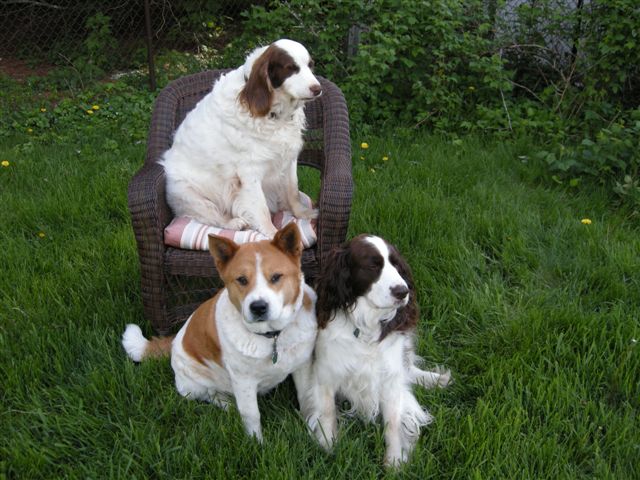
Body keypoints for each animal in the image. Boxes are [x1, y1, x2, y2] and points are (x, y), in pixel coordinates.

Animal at [121, 223, 316, 440]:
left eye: (276, 277)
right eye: (241, 279)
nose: (258, 307)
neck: (272, 337)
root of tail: (173, 342)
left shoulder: (303, 366)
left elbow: (308, 398)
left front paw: (315, 431)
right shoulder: (243, 380)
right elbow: (251, 414)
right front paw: (256, 443)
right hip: (193, 386)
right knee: (211, 394)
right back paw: (228, 405)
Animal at [160, 39, 320, 238]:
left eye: (310, 65)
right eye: (291, 68)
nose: (318, 89)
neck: (273, 113)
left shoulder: (289, 159)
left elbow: (293, 191)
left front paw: (302, 213)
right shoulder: (249, 172)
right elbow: (261, 208)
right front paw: (271, 232)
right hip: (187, 191)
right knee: (212, 216)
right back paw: (234, 223)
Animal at [298, 234, 452, 466]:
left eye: (396, 264)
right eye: (372, 265)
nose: (403, 291)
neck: (365, 328)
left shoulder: (389, 376)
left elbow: (393, 422)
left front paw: (394, 460)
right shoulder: (326, 372)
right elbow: (327, 410)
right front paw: (327, 444)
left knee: (408, 370)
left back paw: (436, 379)